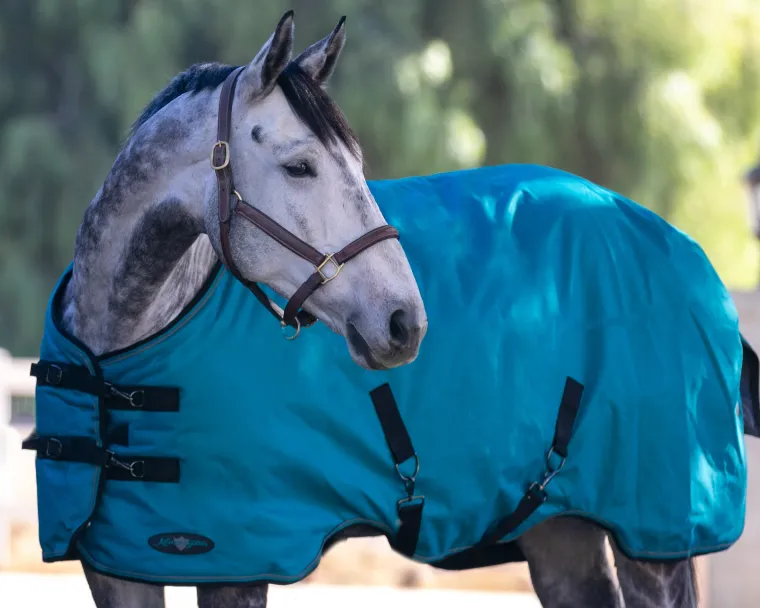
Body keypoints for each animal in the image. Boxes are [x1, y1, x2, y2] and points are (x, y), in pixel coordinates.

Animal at [34, 11, 756, 608]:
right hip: (564, 531)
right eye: (299, 166)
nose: (405, 322)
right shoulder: (117, 567)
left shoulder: (234, 561)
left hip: (653, 538)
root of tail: (683, 249)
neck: (123, 347)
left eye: (356, 162)